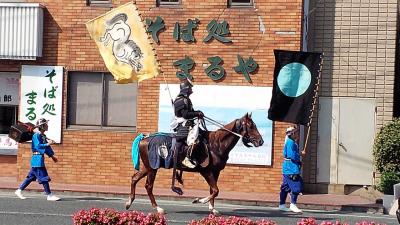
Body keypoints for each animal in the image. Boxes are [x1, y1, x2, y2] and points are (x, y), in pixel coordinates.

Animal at [123, 112, 264, 214]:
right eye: (251, 126)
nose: (260, 141)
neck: (216, 144)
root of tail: (144, 138)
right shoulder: (206, 171)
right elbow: (215, 190)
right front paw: (198, 200)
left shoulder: (216, 172)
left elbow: (213, 190)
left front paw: (212, 209)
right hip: (153, 168)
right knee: (148, 186)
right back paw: (158, 208)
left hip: (148, 167)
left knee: (134, 178)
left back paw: (129, 202)